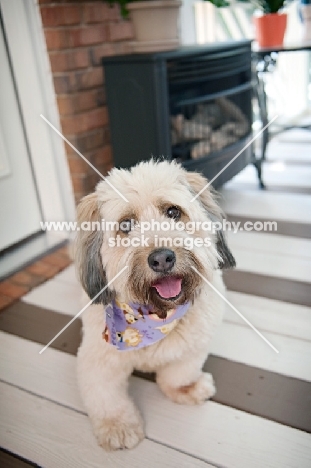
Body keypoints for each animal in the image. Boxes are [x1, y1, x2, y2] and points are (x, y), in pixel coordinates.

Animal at [75, 160, 235, 450]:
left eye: (173, 211)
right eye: (126, 224)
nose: (161, 258)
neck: (155, 317)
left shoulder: (192, 348)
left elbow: (179, 373)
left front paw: (186, 388)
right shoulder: (98, 359)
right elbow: (105, 396)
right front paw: (118, 426)